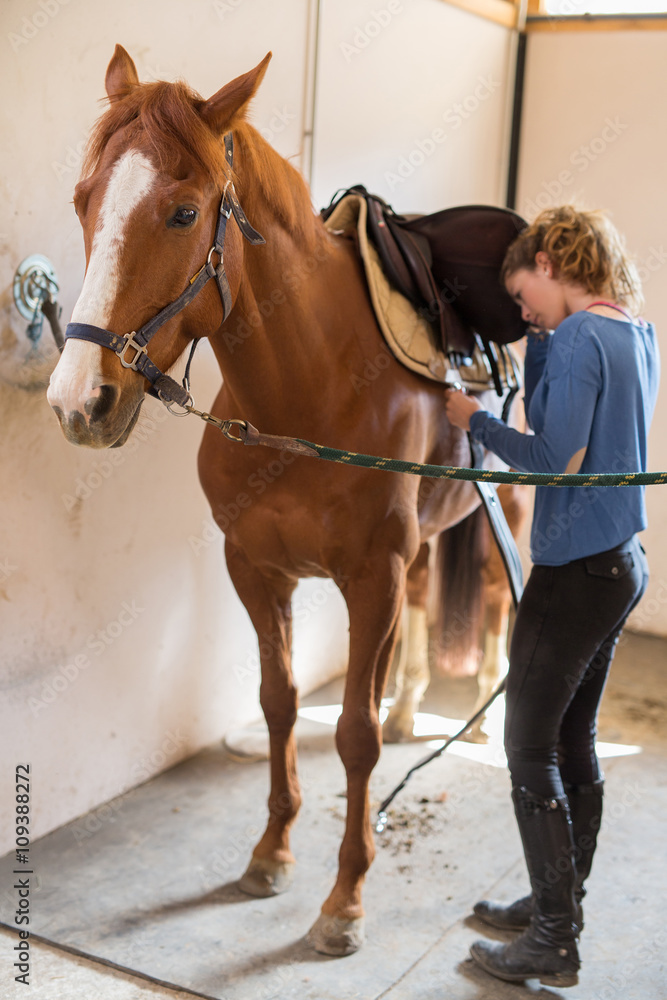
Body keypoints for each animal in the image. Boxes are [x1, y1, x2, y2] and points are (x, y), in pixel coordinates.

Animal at [45, 45, 528, 952]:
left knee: (493, 600)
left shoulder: (369, 579)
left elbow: (352, 734)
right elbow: (279, 705)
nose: (78, 401)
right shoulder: (255, 569)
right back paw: (414, 706)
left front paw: (344, 898)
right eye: (85, 199)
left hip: (510, 511)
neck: (308, 391)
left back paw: (483, 711)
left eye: (183, 212)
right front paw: (270, 853)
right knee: (428, 603)